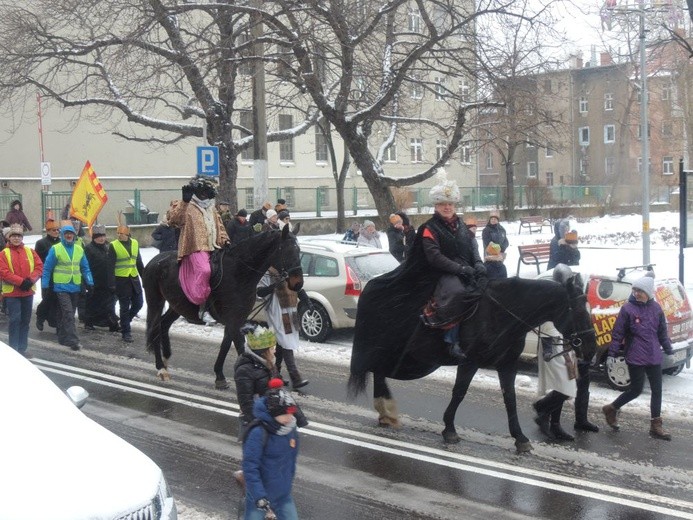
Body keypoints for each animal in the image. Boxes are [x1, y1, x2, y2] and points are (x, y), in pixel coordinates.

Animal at [142, 225, 302, 388]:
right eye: (287, 251)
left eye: (299, 251)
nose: (298, 283)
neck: (239, 273)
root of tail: (154, 261)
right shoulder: (233, 321)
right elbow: (241, 348)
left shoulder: (235, 320)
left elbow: (225, 345)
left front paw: (219, 375)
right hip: (155, 301)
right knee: (155, 327)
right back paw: (161, 368)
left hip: (178, 305)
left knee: (164, 324)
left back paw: (166, 358)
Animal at [348, 266, 596, 452]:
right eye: (579, 311)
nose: (591, 350)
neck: (502, 313)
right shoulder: (470, 362)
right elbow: (459, 392)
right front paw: (449, 429)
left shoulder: (507, 364)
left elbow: (510, 398)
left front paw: (520, 438)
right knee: (378, 372)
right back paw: (386, 411)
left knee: (379, 373)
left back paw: (385, 413)